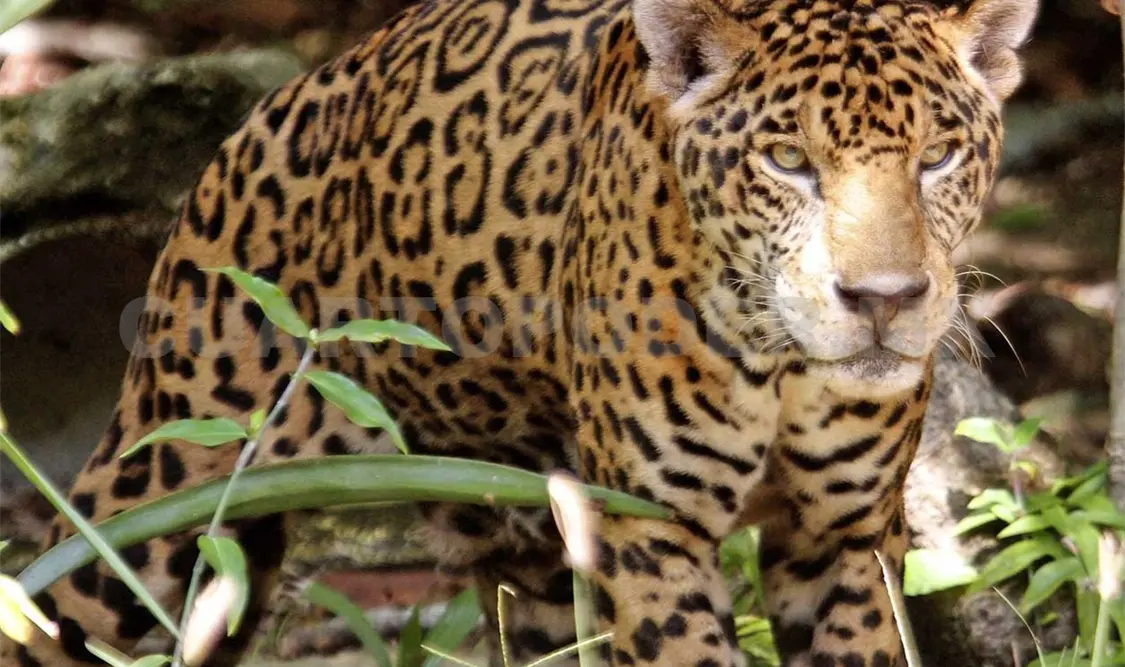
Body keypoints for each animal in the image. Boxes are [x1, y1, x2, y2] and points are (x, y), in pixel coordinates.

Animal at [0, 0, 1038, 665]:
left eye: (938, 157)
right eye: (787, 161)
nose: (883, 298)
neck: (781, 364)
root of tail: (283, 97)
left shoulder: (842, 542)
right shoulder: (649, 532)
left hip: (511, 538)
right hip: (169, 481)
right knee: (56, 608)